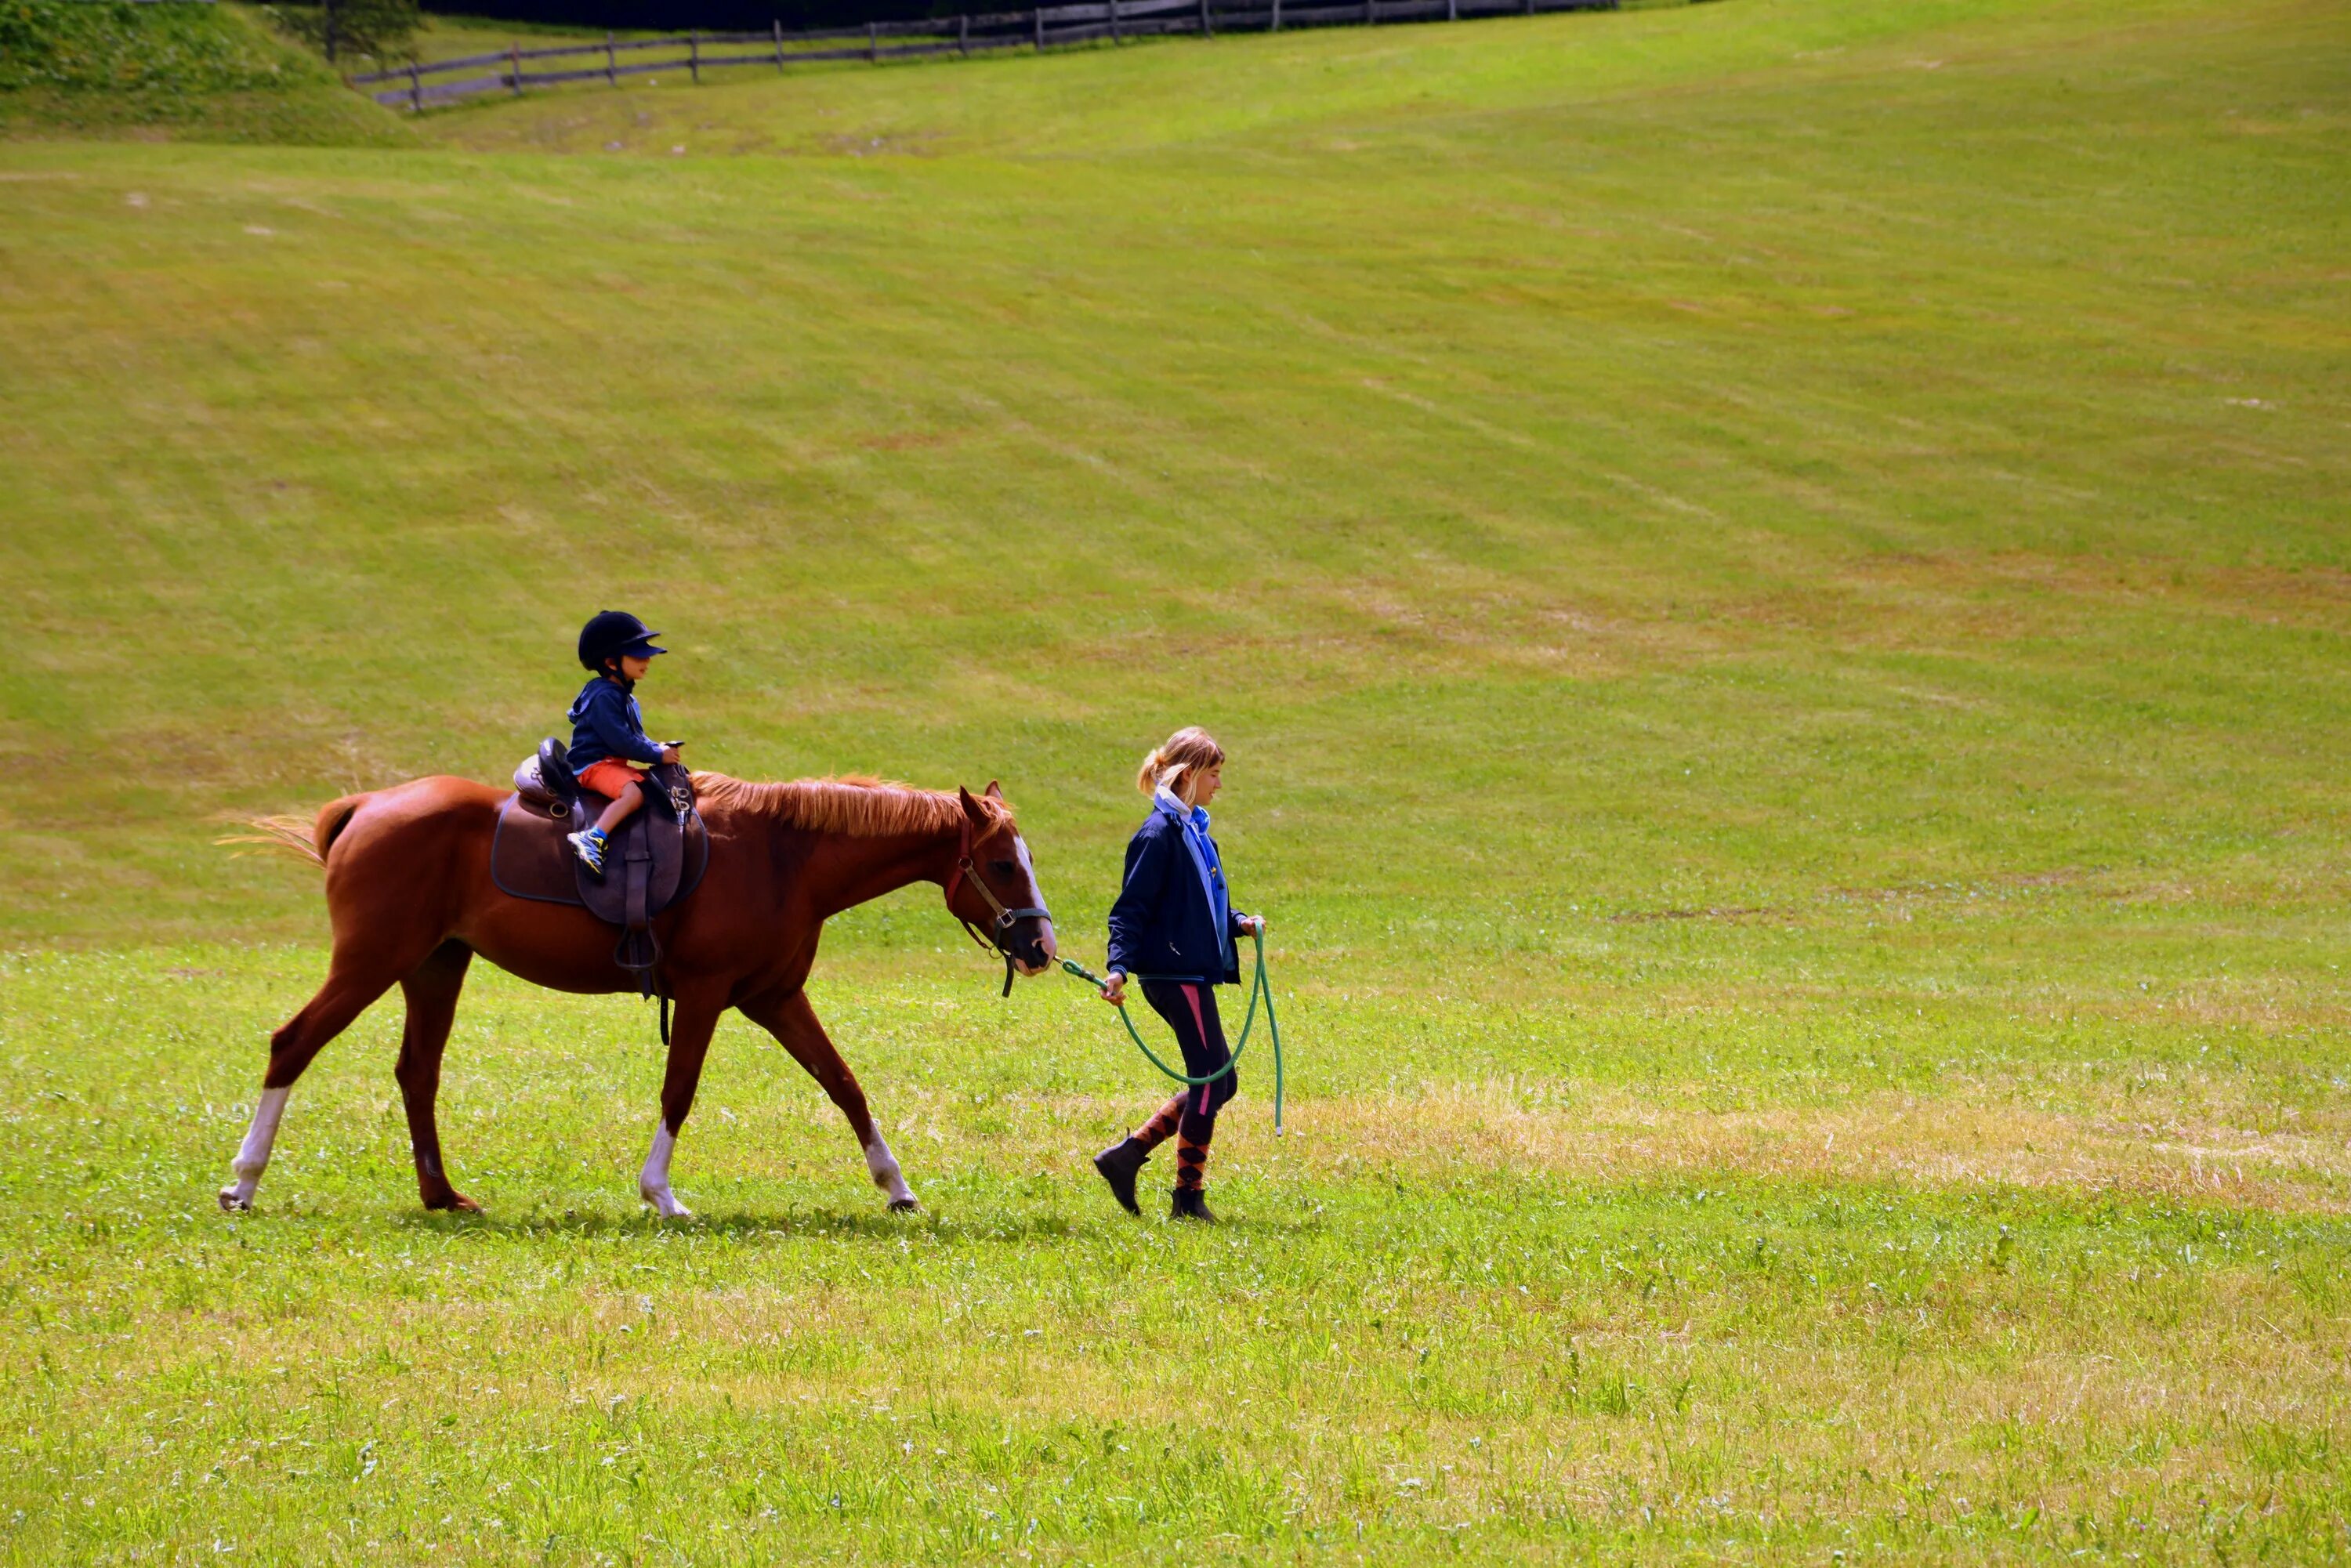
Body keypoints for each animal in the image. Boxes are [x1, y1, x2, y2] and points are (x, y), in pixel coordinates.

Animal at [222, 780, 1058, 1222]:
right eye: (999, 864)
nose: (1043, 946)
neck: (782, 858)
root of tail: (368, 805)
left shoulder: (776, 998)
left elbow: (845, 1085)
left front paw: (896, 1186)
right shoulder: (705, 995)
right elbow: (679, 1089)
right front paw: (661, 1193)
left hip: (434, 967)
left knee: (416, 1072)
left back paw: (441, 1193)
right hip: (372, 962)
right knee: (293, 1044)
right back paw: (244, 1179)